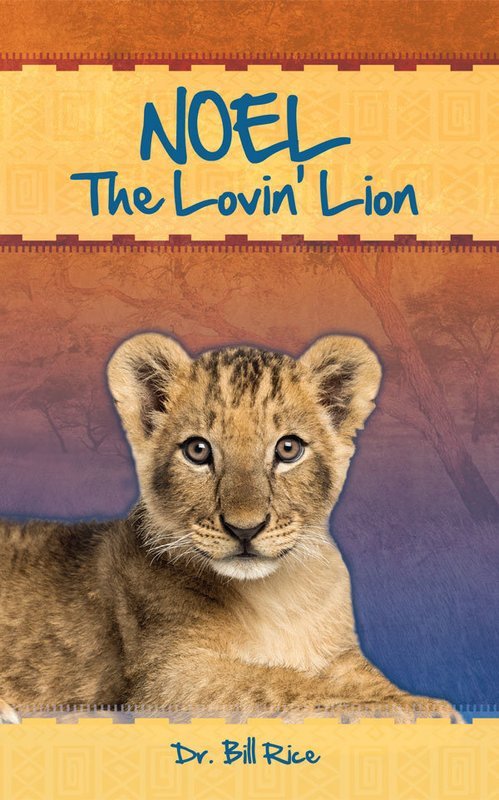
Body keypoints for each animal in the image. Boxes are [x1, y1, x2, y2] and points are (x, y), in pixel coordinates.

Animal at [0, 333, 460, 722]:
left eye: (288, 448)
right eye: (198, 450)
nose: (245, 529)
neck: (280, 595)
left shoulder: (342, 654)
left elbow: (363, 677)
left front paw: (409, 699)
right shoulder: (170, 679)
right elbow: (277, 682)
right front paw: (415, 710)